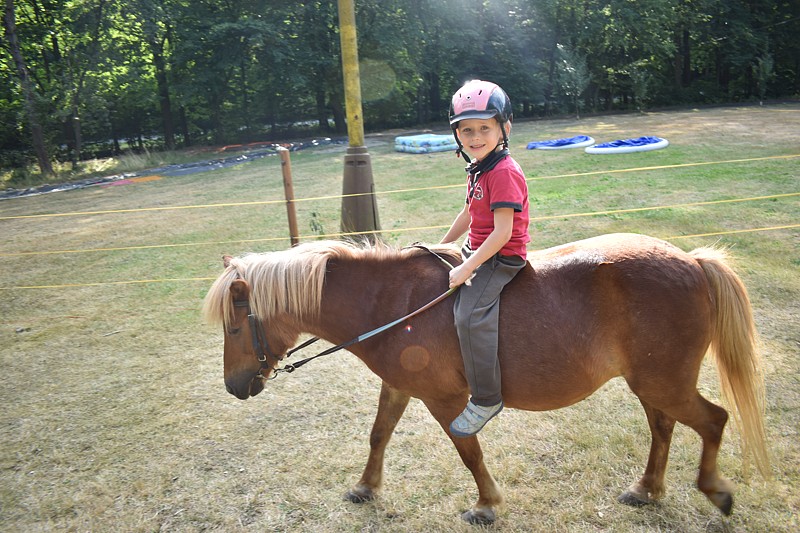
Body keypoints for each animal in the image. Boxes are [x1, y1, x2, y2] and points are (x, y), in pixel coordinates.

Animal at [202, 233, 768, 524]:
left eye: (234, 325)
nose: (234, 386)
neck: (391, 303)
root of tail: (692, 260)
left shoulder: (445, 399)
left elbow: (468, 451)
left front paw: (487, 504)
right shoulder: (399, 387)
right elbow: (378, 435)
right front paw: (365, 487)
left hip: (664, 382)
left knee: (712, 420)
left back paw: (715, 491)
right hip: (650, 382)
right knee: (663, 427)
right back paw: (646, 490)